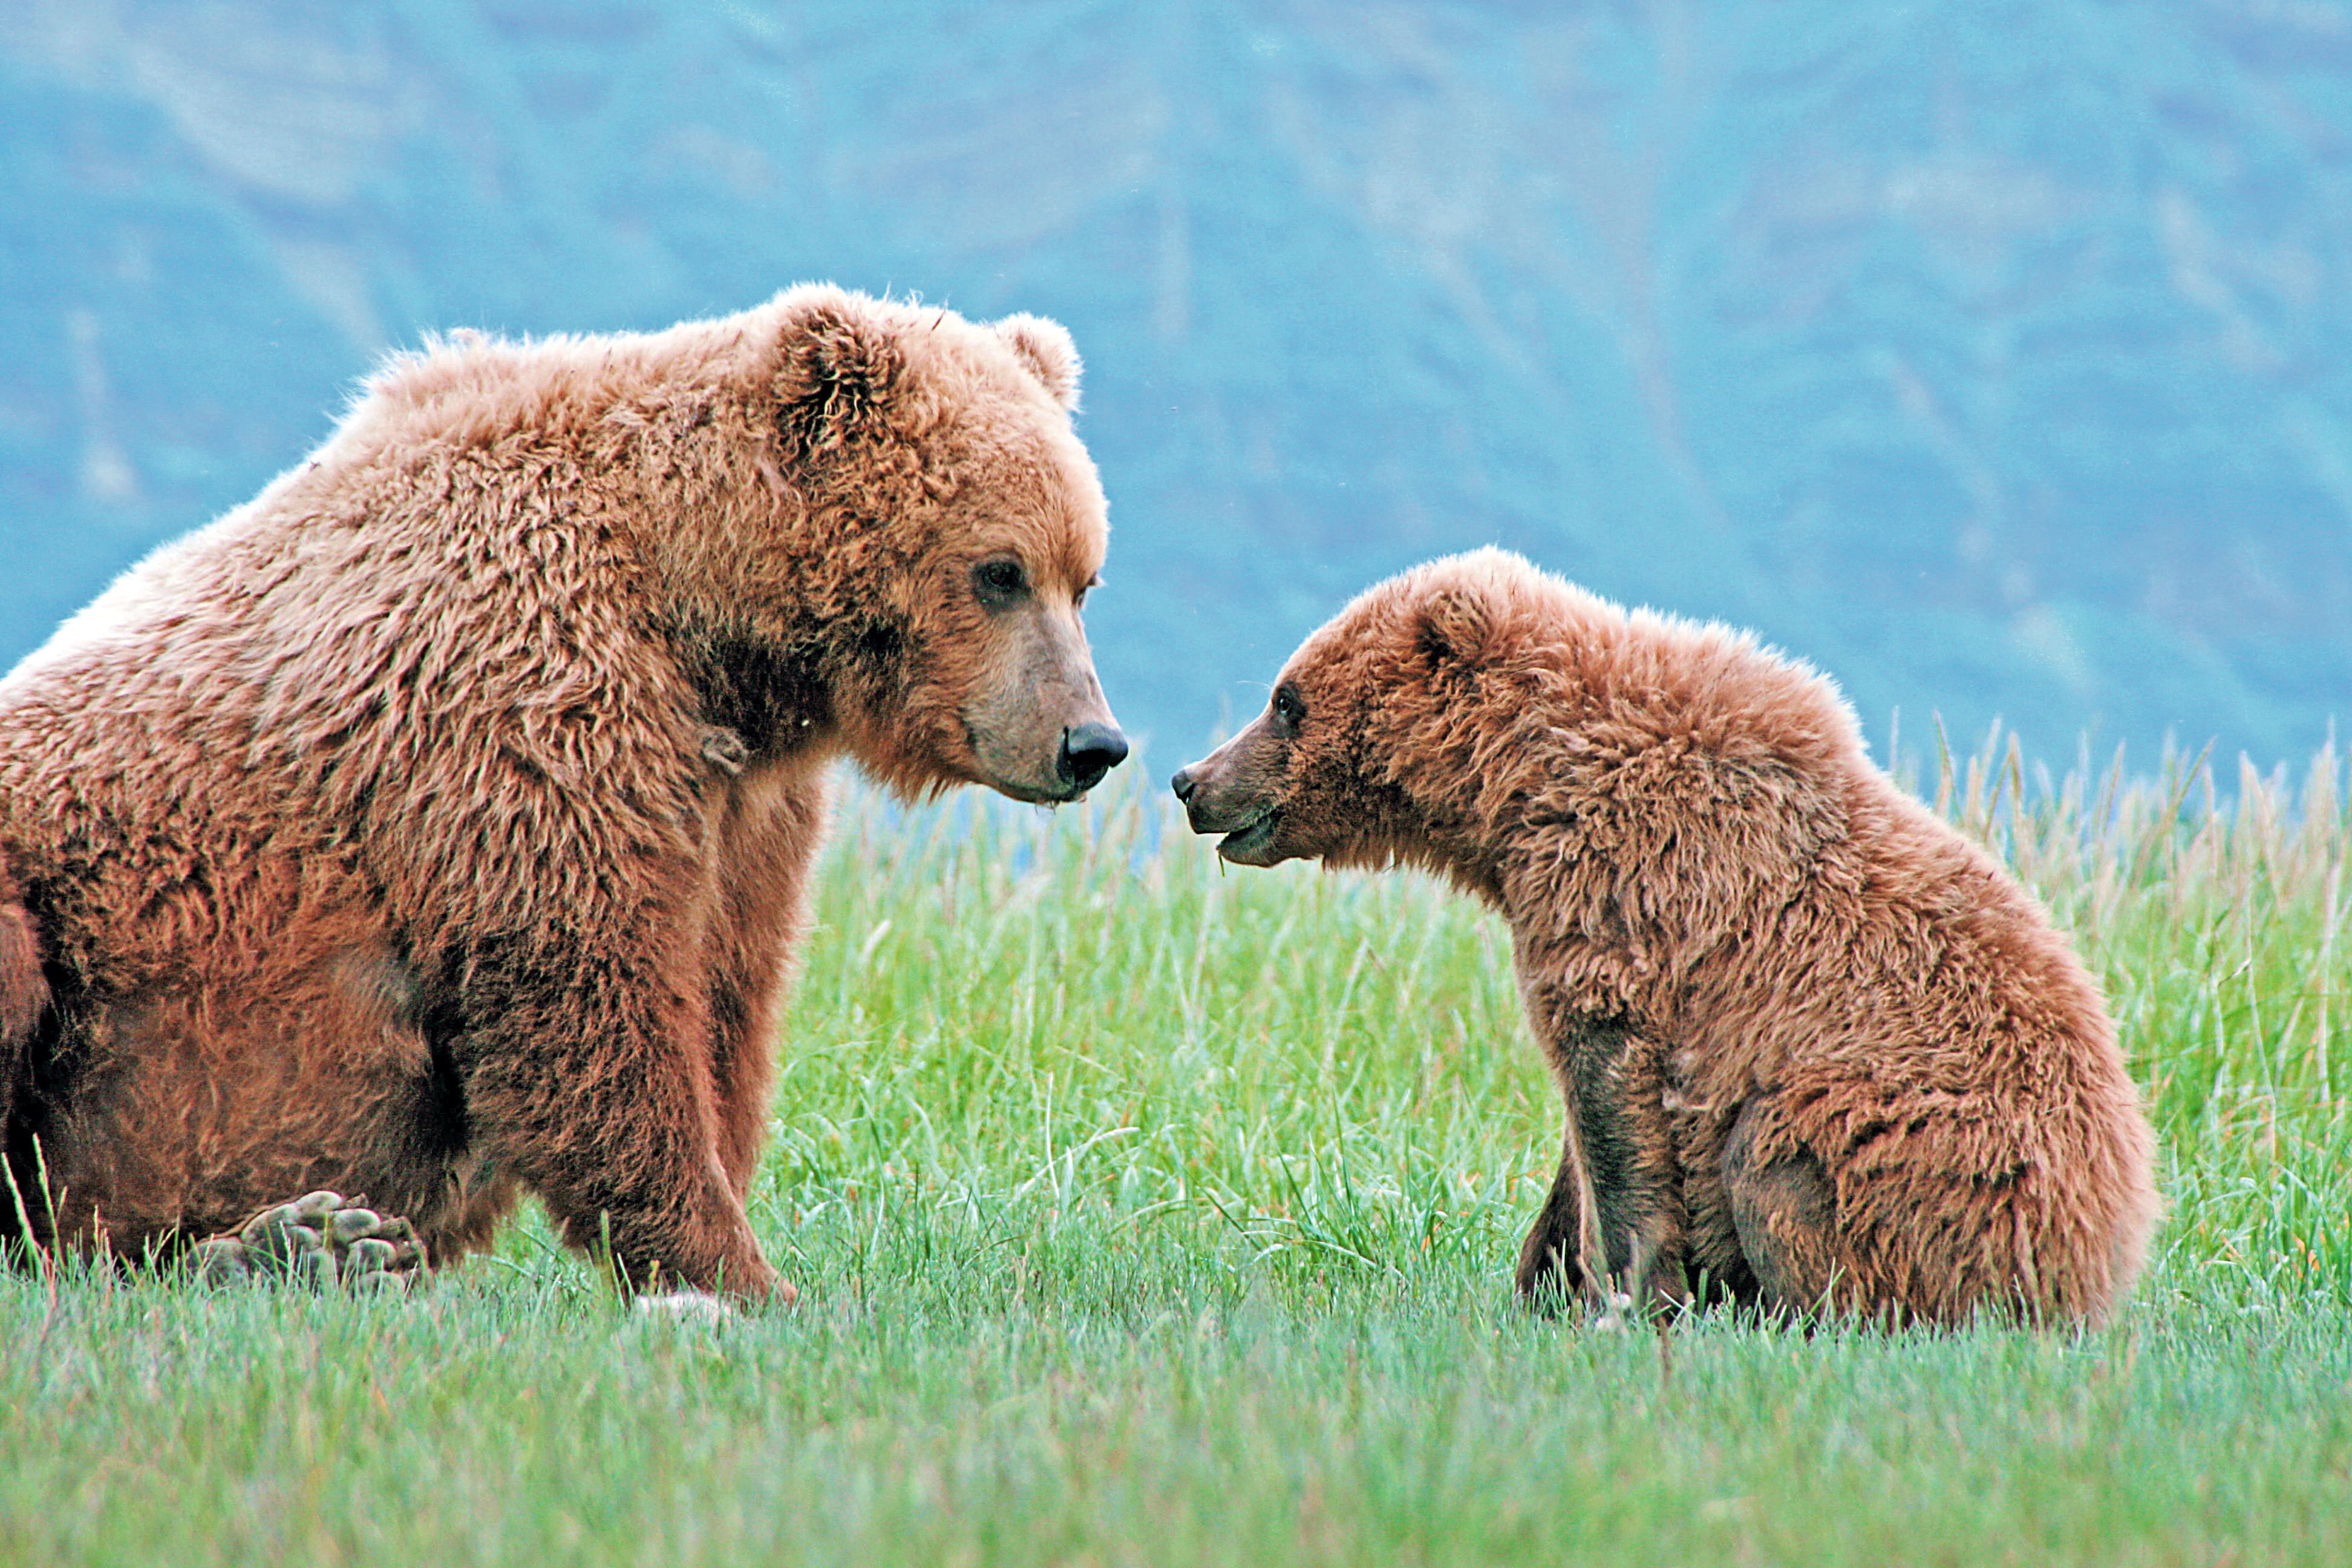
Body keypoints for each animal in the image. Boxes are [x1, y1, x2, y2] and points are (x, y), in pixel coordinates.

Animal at [0, 282, 1129, 1298]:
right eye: (1000, 569)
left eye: (1084, 577)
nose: (1091, 743)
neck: (703, 628)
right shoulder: (528, 708)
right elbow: (592, 994)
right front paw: (741, 1275)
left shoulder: (745, 808)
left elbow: (727, 1007)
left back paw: (306, 1243)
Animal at [1166, 550, 2154, 1325]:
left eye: (1285, 699)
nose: (1189, 779)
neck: (1521, 792)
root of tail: (2106, 1251)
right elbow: (1577, 1150)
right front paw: (1543, 1284)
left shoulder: (1622, 903)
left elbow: (1615, 1113)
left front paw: (1629, 1298)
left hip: (1938, 1158)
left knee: (1779, 1159)